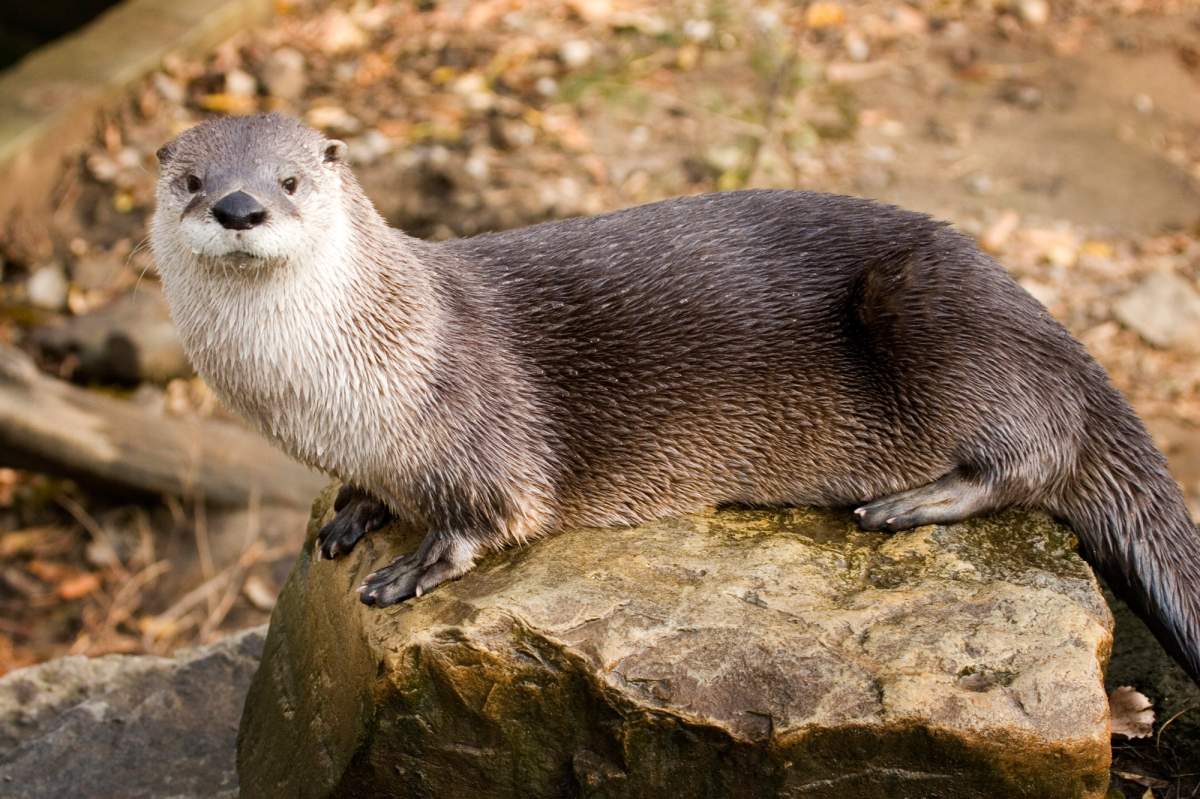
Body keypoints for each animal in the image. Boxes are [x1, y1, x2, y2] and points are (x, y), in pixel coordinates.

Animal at [151, 113, 1200, 683]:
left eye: (290, 179)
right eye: (192, 181)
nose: (240, 207)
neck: (336, 390)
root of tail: (1050, 325)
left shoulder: (476, 417)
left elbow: (488, 511)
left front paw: (413, 564)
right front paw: (355, 511)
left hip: (938, 317)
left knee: (1036, 451)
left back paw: (911, 501)